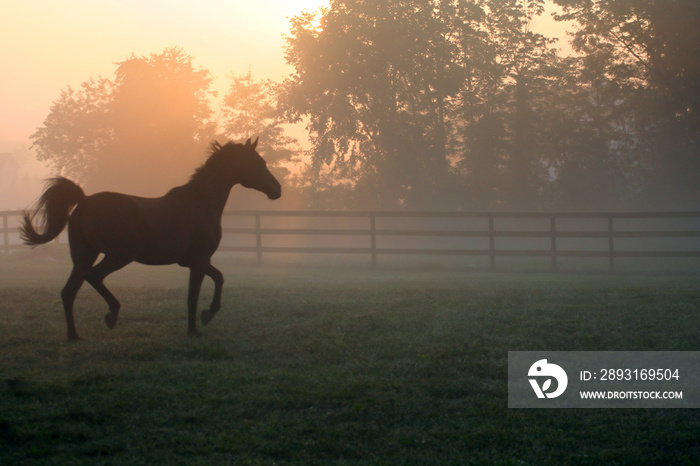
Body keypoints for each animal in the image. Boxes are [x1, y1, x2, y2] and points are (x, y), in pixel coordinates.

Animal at [20, 137, 280, 340]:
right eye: (259, 163)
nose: (277, 189)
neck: (200, 203)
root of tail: (84, 201)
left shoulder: (194, 261)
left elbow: (219, 278)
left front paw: (207, 315)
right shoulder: (199, 260)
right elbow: (193, 296)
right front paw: (195, 329)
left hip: (84, 256)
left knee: (69, 291)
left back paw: (74, 335)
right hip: (119, 255)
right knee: (94, 277)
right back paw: (111, 315)